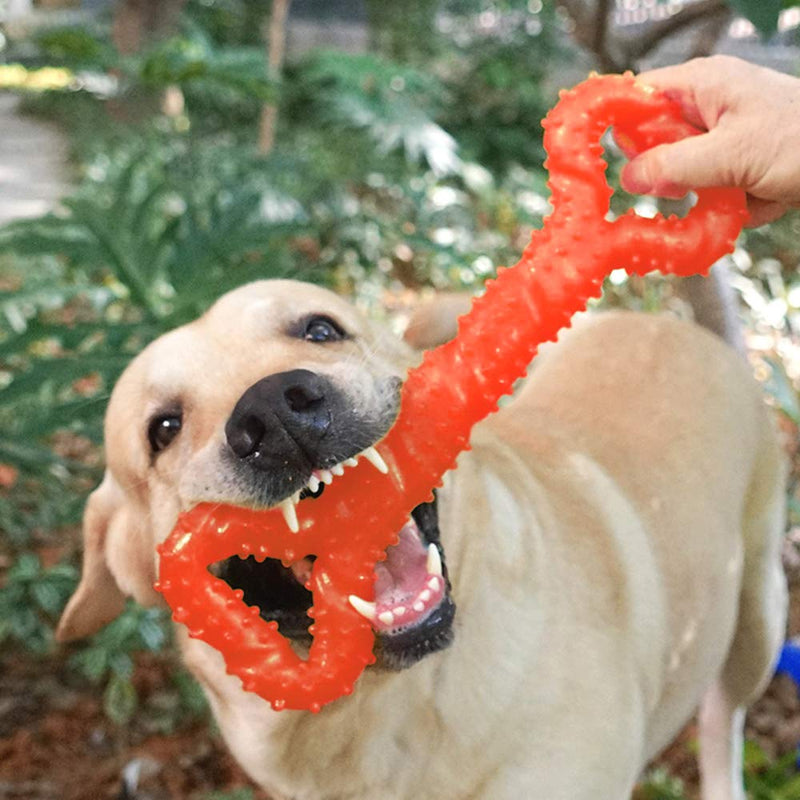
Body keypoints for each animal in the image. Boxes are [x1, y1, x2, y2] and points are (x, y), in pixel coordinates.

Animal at [56, 280, 788, 800]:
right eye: (163, 429)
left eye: (319, 329)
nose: (273, 411)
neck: (380, 709)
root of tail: (684, 329)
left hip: (758, 619)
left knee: (724, 720)